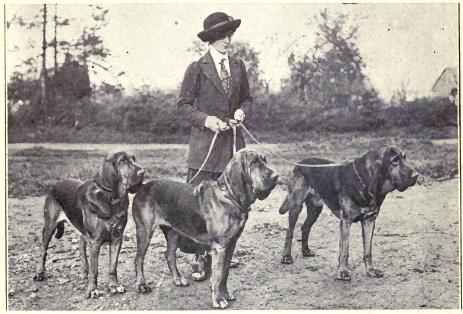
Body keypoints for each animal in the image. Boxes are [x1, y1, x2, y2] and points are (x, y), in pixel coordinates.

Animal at [32, 152, 144, 300]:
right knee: (43, 250)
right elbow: (94, 270)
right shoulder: (95, 242)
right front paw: (92, 290)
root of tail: (56, 184)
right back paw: (40, 273)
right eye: (123, 161)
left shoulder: (117, 239)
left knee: (81, 246)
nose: (143, 172)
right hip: (49, 226)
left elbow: (113, 267)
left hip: (83, 232)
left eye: (134, 159)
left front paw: (114, 285)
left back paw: (84, 272)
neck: (111, 200)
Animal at [130, 150, 280, 310]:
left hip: (173, 232)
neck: (229, 196)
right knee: (139, 259)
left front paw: (225, 294)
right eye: (254, 162)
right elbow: (218, 275)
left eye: (264, 160)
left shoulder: (231, 244)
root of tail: (143, 186)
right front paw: (219, 299)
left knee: (169, 255)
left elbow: (225, 273)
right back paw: (141, 285)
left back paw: (178, 279)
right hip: (144, 231)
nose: (276, 176)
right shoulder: (220, 247)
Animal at [280, 146, 420, 280]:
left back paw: (306, 251)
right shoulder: (346, 222)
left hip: (315, 209)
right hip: (296, 206)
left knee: (305, 227)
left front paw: (370, 270)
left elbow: (368, 250)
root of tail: (300, 163)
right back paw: (286, 257)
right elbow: (344, 251)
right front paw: (343, 272)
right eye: (395, 160)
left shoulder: (369, 221)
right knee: (289, 231)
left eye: (405, 157)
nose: (416, 175)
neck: (364, 181)